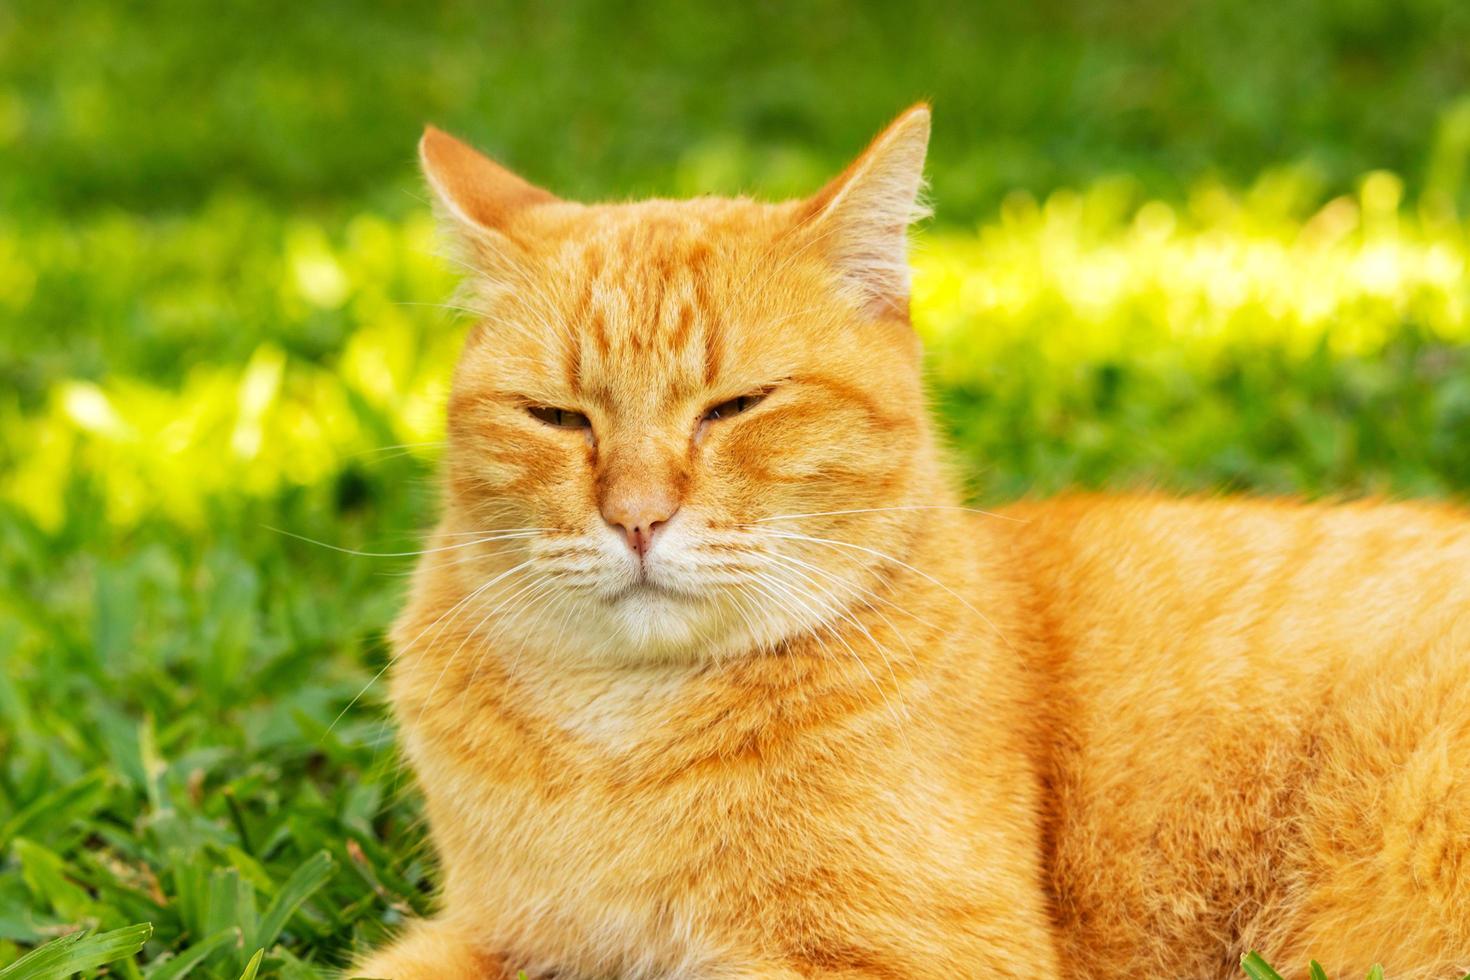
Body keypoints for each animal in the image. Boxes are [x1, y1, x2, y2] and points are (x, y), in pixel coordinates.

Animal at [355, 109, 1470, 980]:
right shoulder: (499, 931)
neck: (621, 732)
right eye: (556, 417)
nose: (635, 516)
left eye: (736, 406)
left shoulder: (918, 952)